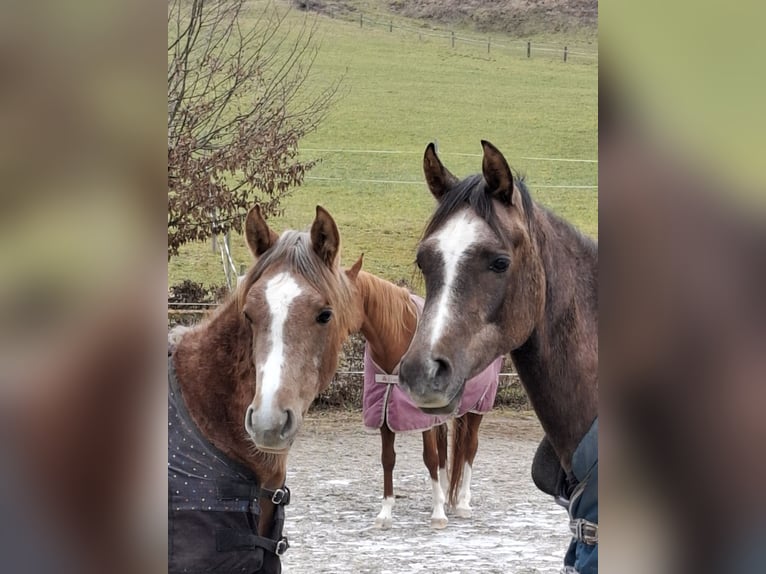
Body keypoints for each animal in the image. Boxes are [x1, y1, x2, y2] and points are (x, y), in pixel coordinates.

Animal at [348, 260, 504, 532]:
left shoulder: (421, 420)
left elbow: (430, 458)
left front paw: (438, 514)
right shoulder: (386, 414)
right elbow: (388, 459)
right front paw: (385, 513)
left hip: (478, 407)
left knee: (470, 448)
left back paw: (462, 503)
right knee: (445, 453)